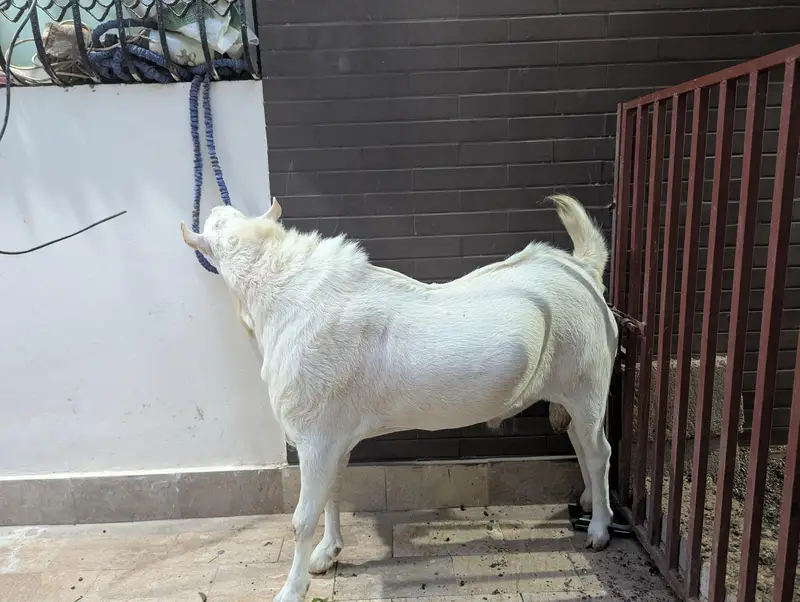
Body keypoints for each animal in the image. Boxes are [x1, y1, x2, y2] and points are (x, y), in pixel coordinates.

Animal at [180, 194, 618, 602]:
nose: (214, 207)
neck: (283, 292)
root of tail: (581, 270)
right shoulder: (334, 436)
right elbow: (333, 491)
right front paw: (327, 552)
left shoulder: (314, 437)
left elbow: (303, 518)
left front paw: (291, 589)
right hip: (572, 390)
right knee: (580, 442)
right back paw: (589, 502)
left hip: (589, 382)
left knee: (599, 452)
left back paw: (599, 529)